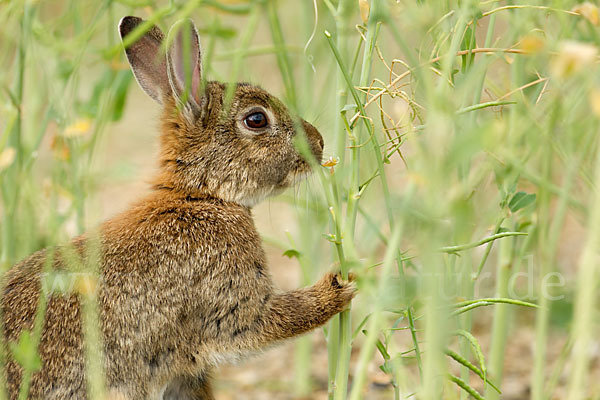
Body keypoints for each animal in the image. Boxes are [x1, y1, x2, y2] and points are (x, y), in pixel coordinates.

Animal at [0, 15, 354, 400]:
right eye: (257, 120)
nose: (318, 142)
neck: (200, 195)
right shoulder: (228, 303)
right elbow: (265, 322)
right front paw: (339, 285)